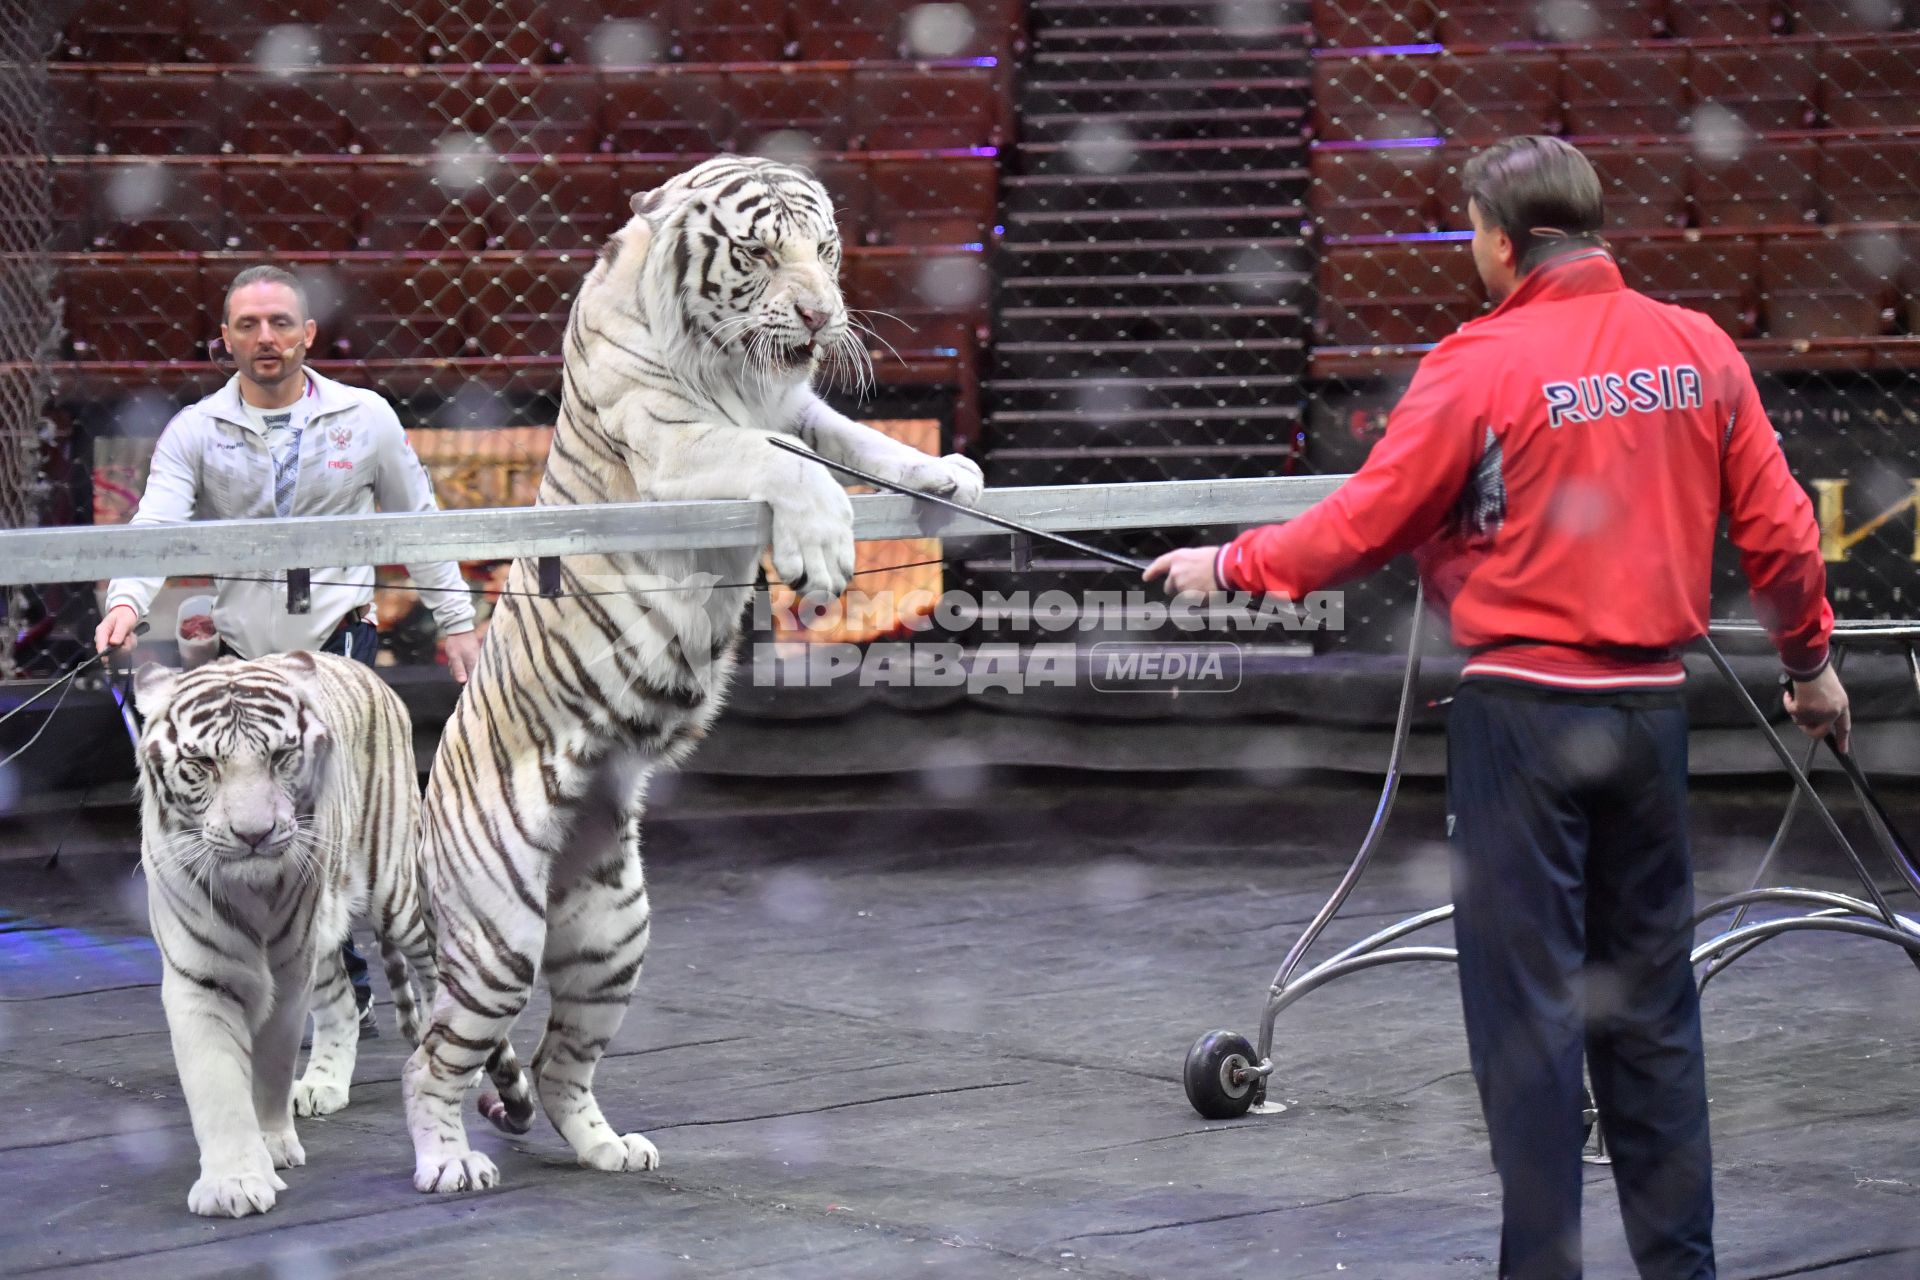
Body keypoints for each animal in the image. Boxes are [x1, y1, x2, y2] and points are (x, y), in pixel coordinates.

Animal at [137, 656, 437, 1220]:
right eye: (203, 764)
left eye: (280, 756)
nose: (254, 834)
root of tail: (366, 668)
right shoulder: (200, 979)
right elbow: (217, 1084)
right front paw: (233, 1182)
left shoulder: (289, 971)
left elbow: (271, 1066)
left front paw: (272, 1143)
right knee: (343, 1003)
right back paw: (323, 1085)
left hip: (399, 896)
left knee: (434, 973)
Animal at [399, 157, 983, 1189]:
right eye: (758, 253)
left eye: (824, 249)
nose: (820, 314)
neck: (737, 369)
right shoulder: (681, 430)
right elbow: (791, 468)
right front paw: (823, 551)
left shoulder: (797, 404)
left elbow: (859, 443)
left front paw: (947, 473)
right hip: (500, 934)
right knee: (431, 1059)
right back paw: (447, 1164)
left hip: (613, 934)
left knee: (561, 1064)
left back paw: (609, 1150)